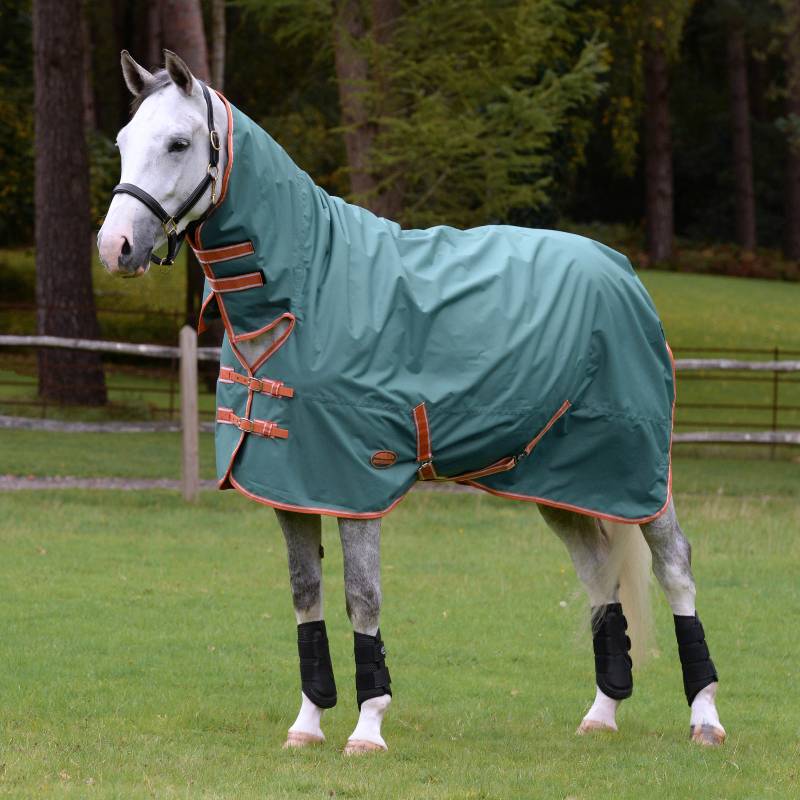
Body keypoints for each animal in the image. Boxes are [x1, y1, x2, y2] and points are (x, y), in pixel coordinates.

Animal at [97, 50, 726, 753]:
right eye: (123, 142)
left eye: (178, 143)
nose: (115, 248)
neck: (304, 296)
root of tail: (622, 271)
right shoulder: (290, 486)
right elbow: (305, 595)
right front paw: (307, 725)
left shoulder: (354, 485)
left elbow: (363, 596)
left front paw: (368, 728)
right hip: (559, 482)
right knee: (597, 570)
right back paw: (602, 713)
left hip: (640, 474)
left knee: (674, 566)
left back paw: (705, 717)